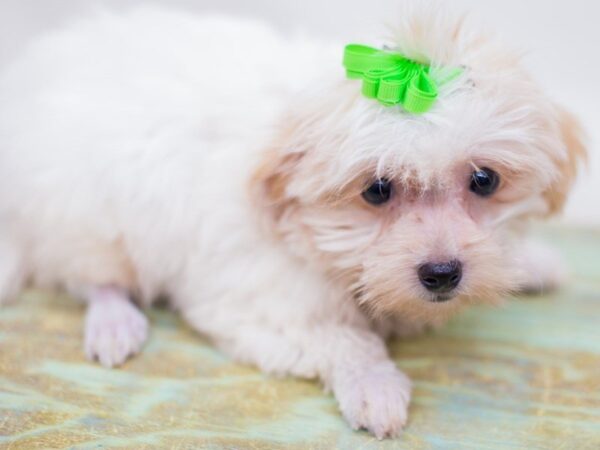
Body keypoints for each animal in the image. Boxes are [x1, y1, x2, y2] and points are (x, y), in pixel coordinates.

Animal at [0, 2, 584, 440]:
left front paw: (532, 262)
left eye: (484, 180)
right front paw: (375, 385)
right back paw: (114, 320)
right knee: (88, 276)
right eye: (377, 190)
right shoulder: (257, 299)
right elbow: (341, 337)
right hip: (85, 214)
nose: (442, 273)